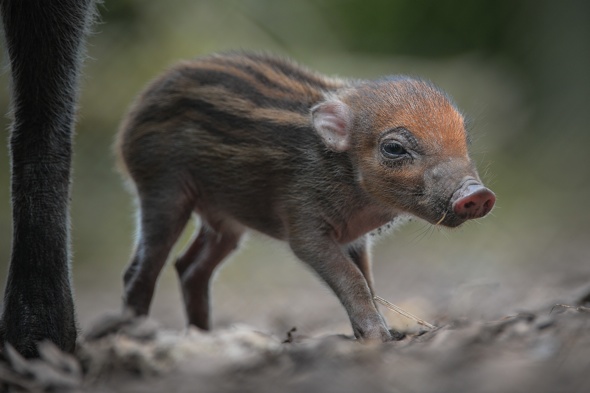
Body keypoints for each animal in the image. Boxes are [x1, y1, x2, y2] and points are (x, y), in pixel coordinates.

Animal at [118, 51, 498, 340]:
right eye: (394, 148)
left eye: (463, 139)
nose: (477, 193)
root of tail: (129, 122)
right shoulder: (305, 227)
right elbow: (353, 280)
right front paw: (379, 337)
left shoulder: (355, 238)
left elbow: (368, 281)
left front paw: (386, 333)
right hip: (162, 188)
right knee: (141, 268)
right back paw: (135, 334)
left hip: (224, 220)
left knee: (190, 267)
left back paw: (203, 335)